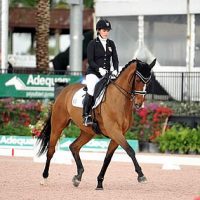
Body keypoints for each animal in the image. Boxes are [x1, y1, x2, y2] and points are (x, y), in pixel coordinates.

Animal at [37, 58, 156, 190]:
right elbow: (130, 150)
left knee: (74, 146)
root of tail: (63, 92)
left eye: (148, 82)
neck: (119, 99)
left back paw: (77, 177)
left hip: (88, 132)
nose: (139, 104)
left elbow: (108, 158)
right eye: (138, 80)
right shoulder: (114, 131)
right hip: (58, 125)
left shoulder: (118, 134)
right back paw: (44, 178)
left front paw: (99, 182)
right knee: (51, 150)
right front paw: (141, 176)